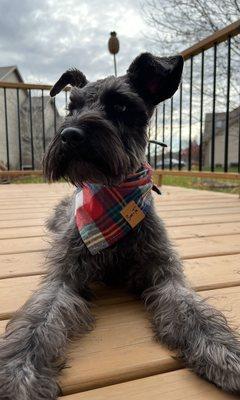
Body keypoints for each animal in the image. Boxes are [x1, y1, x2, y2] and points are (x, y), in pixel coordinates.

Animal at [0, 53, 240, 400]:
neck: (114, 199)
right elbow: (39, 320)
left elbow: (192, 310)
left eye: (122, 107)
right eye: (71, 107)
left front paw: (223, 351)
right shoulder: (64, 277)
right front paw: (19, 373)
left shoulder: (165, 274)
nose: (69, 134)